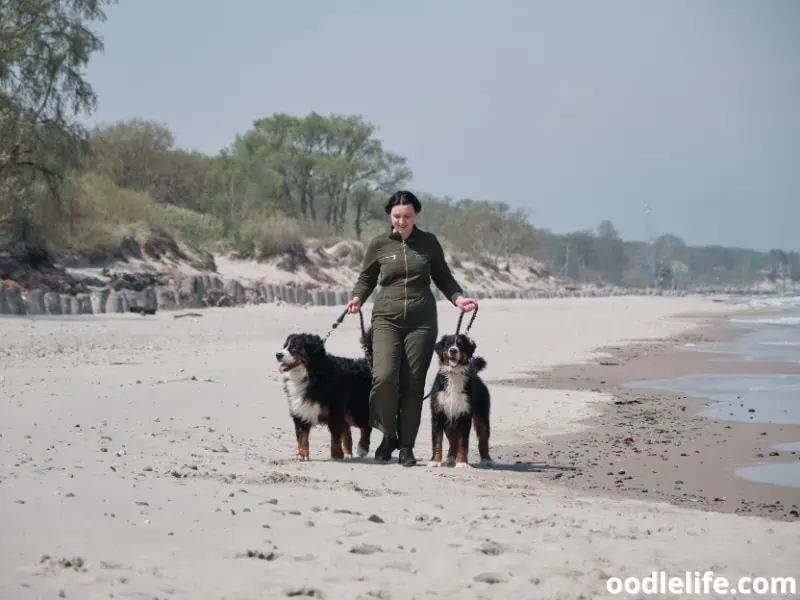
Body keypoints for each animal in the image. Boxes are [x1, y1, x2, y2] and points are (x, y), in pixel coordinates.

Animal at [276, 330, 374, 462]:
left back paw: (362, 448)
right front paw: (302, 454)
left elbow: (335, 436)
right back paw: (348, 453)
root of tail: (365, 362)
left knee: (365, 426)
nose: (278, 355)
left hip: (356, 409)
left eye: (294, 347)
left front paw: (336, 455)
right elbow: (302, 437)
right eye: (285, 346)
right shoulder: (300, 411)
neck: (310, 375)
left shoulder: (334, 411)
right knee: (347, 430)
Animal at [428, 332, 490, 468]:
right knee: (453, 442)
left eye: (460, 345)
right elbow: (437, 441)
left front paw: (462, 462)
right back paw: (451, 458)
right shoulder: (438, 413)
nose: (453, 350)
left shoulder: (464, 414)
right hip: (449, 422)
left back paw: (487, 459)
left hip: (482, 416)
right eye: (448, 344)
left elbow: (463, 442)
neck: (454, 374)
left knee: (483, 439)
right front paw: (435, 461)